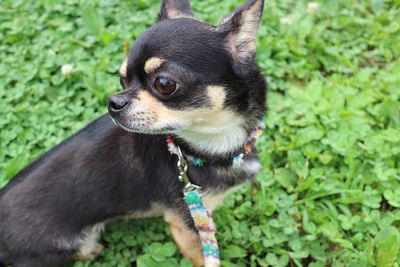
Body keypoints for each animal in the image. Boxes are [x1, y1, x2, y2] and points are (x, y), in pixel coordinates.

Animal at [1, 0, 268, 266]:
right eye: (123, 80)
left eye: (164, 84)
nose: (113, 102)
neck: (199, 148)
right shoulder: (187, 223)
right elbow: (201, 255)